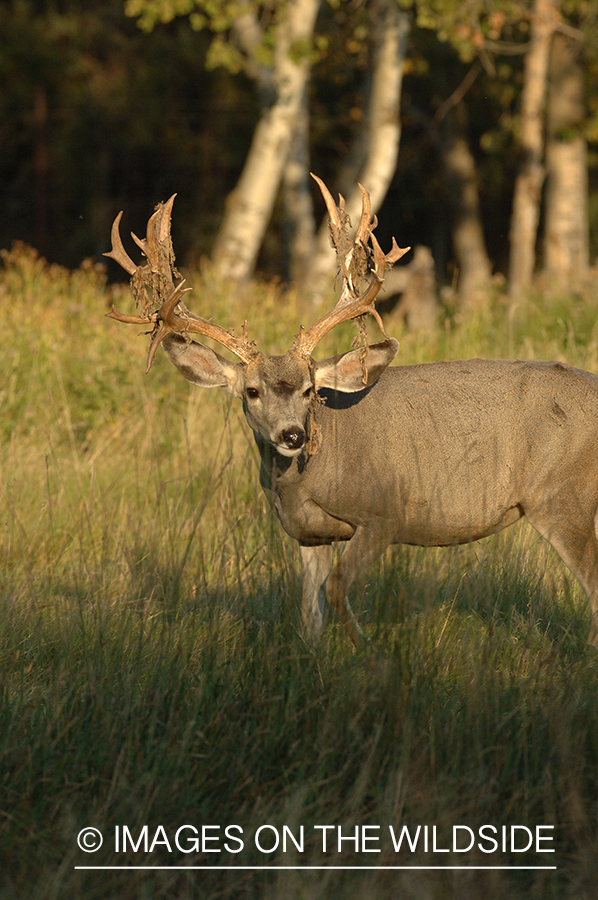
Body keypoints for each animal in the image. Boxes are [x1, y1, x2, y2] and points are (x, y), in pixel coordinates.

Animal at [105, 175, 598, 650]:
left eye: (310, 390)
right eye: (252, 391)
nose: (293, 436)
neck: (309, 478)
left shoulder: (386, 512)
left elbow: (338, 588)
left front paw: (370, 653)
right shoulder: (308, 534)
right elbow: (309, 613)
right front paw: (314, 662)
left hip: (562, 496)